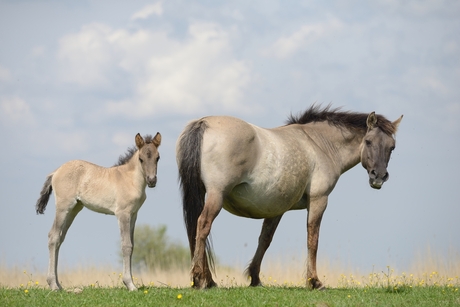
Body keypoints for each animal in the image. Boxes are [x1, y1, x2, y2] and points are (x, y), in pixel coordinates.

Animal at [36, 132, 162, 292]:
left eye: (158, 157)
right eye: (141, 159)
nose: (152, 181)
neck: (130, 179)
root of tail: (56, 171)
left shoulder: (134, 214)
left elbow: (132, 245)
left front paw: (131, 282)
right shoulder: (123, 214)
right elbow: (126, 245)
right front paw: (130, 284)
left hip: (74, 209)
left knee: (59, 238)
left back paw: (59, 284)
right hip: (63, 208)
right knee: (53, 236)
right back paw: (53, 285)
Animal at [176, 104, 402, 290]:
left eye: (392, 146)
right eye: (368, 141)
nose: (379, 177)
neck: (318, 144)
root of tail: (203, 123)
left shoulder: (276, 208)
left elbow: (264, 240)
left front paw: (255, 279)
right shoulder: (319, 200)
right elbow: (313, 239)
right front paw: (314, 282)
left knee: (196, 229)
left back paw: (208, 280)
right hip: (216, 195)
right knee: (202, 226)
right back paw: (200, 279)